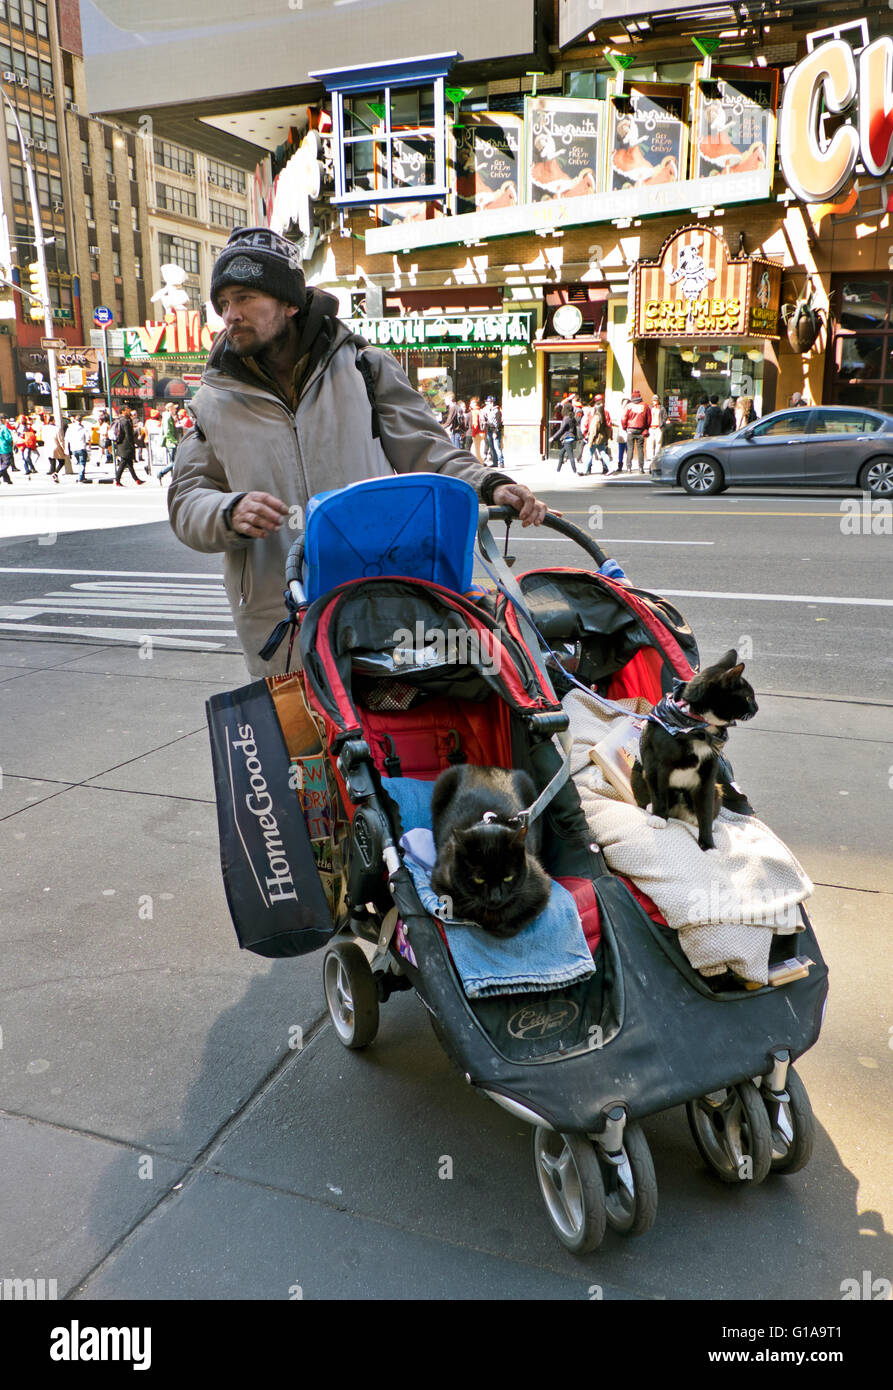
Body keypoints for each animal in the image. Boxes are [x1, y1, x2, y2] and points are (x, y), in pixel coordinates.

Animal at [425, 767, 550, 939]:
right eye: (479, 879)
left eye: (508, 877)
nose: (495, 898)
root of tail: (485, 766)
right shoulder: (439, 881)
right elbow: (463, 906)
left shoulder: (541, 889)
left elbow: (513, 921)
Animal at [628, 647, 756, 850]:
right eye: (748, 697)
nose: (756, 707)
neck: (698, 728)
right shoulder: (656, 764)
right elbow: (659, 792)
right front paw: (659, 817)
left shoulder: (707, 774)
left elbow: (705, 809)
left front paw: (708, 845)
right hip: (639, 774)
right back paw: (651, 808)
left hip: (717, 789)